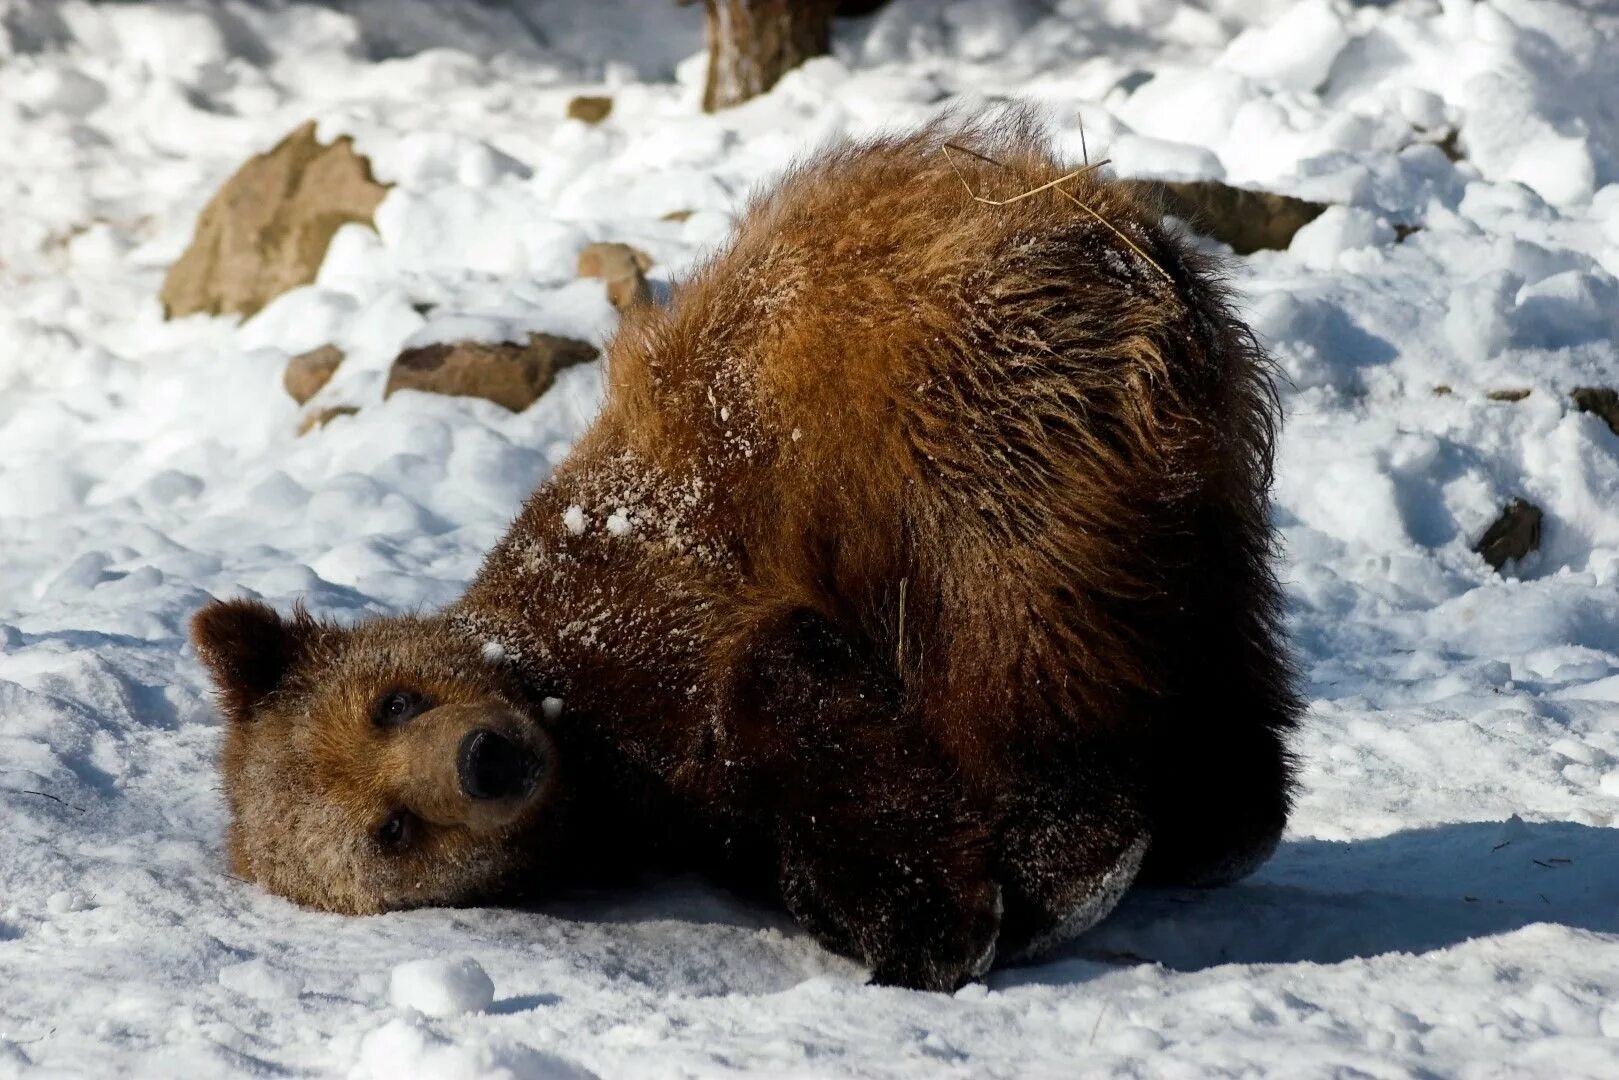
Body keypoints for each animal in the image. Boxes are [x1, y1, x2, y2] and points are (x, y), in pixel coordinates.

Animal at [189, 114, 1301, 990]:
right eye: (391, 831)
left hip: (958, 413)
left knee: (1006, 626)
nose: (486, 758)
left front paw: (928, 924)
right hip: (1173, 469)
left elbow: (794, 696)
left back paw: (1070, 845)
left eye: (393, 702)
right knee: (1198, 635)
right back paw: (1212, 818)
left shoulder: (655, 595)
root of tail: (1114, 230)